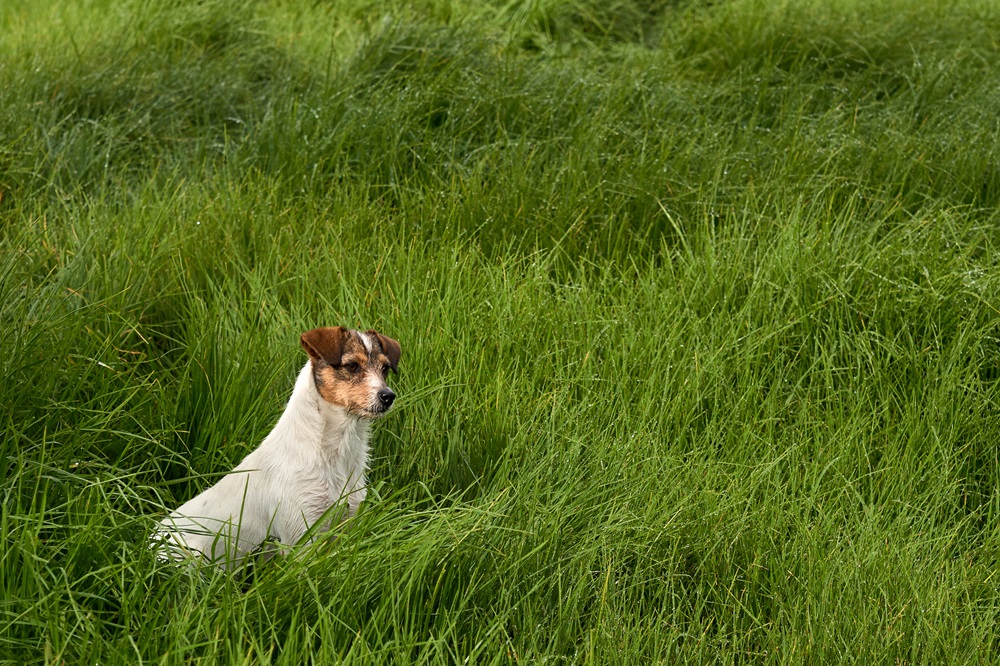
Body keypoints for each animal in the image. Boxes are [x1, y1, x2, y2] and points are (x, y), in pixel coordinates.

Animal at [154, 322, 400, 564]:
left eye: (385, 368)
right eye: (352, 366)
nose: (388, 396)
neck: (333, 450)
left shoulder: (346, 522)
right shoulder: (302, 536)